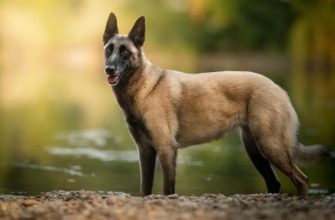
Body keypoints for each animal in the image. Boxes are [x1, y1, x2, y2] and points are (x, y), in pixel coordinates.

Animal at [101, 12, 328, 197]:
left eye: (125, 52)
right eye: (109, 49)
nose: (109, 69)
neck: (144, 87)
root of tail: (278, 88)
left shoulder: (166, 149)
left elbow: (168, 189)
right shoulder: (145, 151)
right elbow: (145, 190)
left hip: (271, 146)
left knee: (301, 180)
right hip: (255, 150)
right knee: (275, 183)